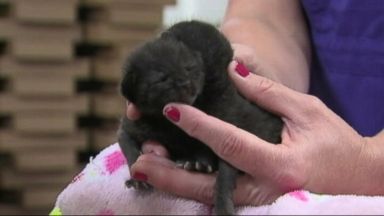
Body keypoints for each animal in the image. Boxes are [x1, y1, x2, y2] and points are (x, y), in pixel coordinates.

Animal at [117, 19, 282, 214]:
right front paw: (137, 177)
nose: (184, 83)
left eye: (189, 68)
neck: (167, 124)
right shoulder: (132, 123)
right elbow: (128, 145)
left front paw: (222, 206)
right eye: (161, 79)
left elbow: (224, 174)